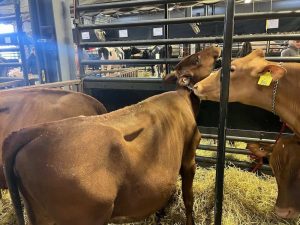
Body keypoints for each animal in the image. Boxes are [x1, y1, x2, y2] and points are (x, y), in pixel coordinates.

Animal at [2, 45, 221, 225]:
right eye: (197, 59)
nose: (215, 46)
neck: (183, 97)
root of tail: (38, 131)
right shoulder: (189, 157)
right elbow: (188, 197)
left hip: (38, 214)